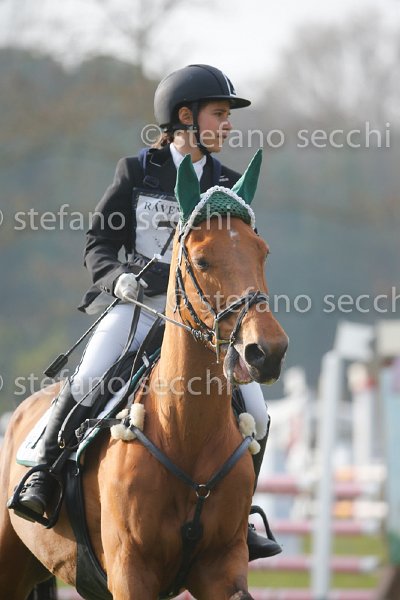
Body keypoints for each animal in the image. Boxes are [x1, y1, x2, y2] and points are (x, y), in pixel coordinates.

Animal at [0, 150, 288, 600]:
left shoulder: (223, 567)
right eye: (202, 259)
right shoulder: (130, 571)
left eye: (262, 252)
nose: (268, 352)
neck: (184, 432)